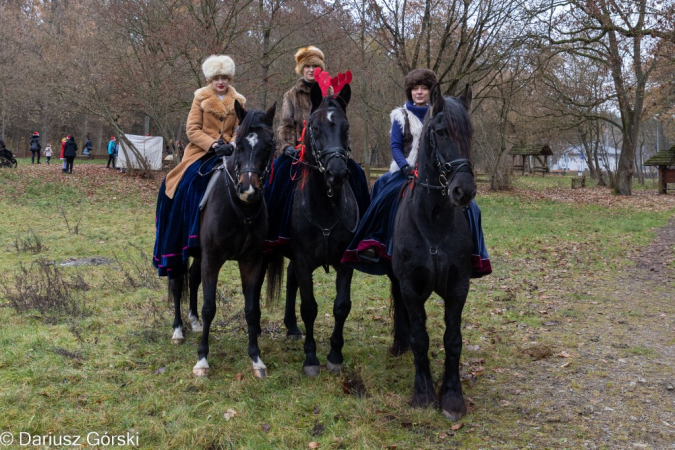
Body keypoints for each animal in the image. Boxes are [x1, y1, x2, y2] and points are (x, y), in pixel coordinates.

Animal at [170, 100, 278, 378]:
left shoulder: (251, 261)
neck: (241, 209)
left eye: (269, 144)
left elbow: (251, 310)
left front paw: (256, 358)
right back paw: (178, 329)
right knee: (177, 283)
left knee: (192, 278)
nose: (248, 189)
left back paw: (194, 322)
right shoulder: (213, 259)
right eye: (238, 143)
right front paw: (202, 360)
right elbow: (210, 307)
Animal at [264, 81, 362, 376]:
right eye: (315, 127)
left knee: (291, 279)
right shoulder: (304, 260)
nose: (336, 173)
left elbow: (341, 307)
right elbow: (309, 307)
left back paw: (292, 327)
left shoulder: (344, 263)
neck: (326, 206)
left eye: (346, 127)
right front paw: (310, 358)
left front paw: (335, 355)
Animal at [388, 83, 478, 418]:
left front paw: (452, 397)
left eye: (470, 132)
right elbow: (420, 338)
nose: (464, 190)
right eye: (440, 132)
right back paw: (398, 344)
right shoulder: (411, 286)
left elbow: (453, 339)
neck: (434, 220)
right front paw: (423, 393)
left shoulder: (458, 286)